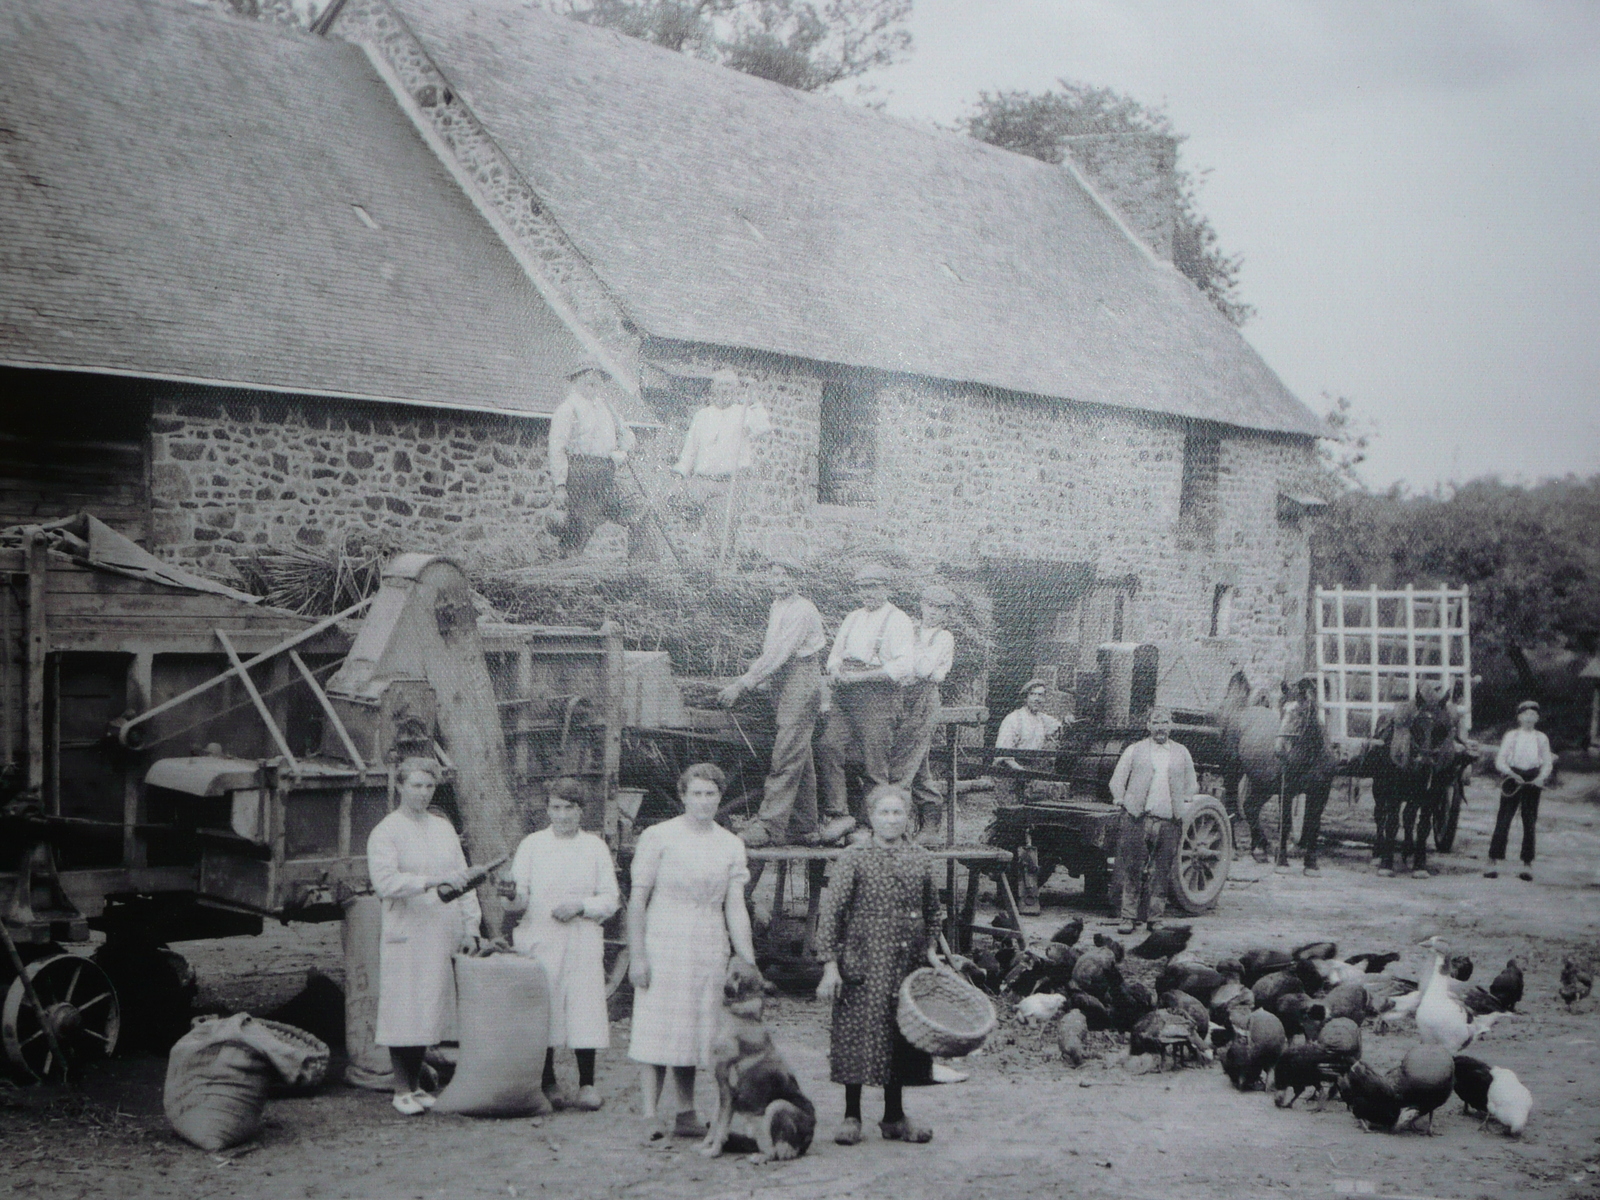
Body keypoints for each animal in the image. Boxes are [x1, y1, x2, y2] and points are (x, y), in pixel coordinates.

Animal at [700, 960, 819, 1164]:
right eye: (731, 971)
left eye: (738, 976)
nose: (733, 955)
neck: (739, 1014)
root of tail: (809, 1140)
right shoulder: (721, 1088)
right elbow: (715, 1123)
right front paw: (706, 1145)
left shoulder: (728, 1093)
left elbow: (721, 1127)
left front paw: (714, 1151)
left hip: (776, 1106)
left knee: (777, 1154)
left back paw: (759, 1158)